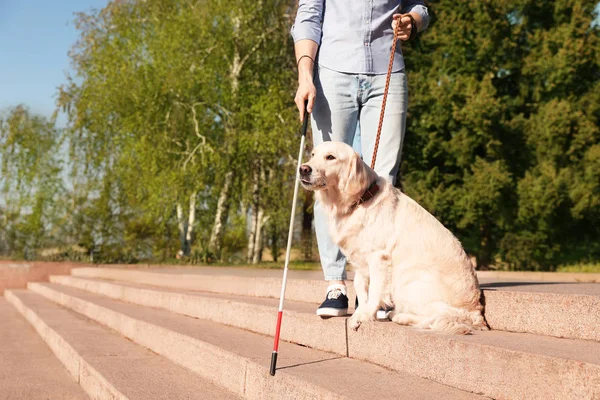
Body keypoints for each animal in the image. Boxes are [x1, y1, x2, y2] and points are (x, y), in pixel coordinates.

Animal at [298, 141, 488, 334]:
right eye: (312, 154)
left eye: (331, 157)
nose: (303, 169)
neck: (360, 199)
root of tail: (475, 313)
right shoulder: (360, 259)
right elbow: (360, 285)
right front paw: (361, 310)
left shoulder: (378, 256)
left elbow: (375, 290)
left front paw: (364, 315)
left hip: (408, 281)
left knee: (435, 317)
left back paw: (399, 316)